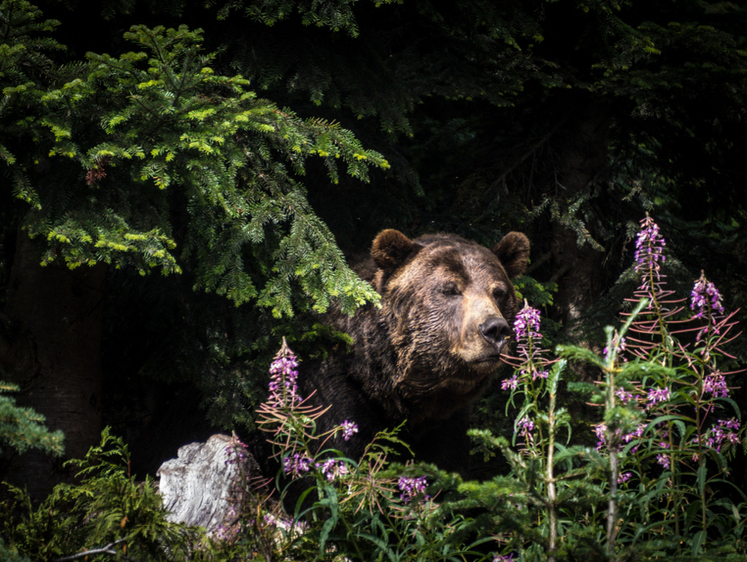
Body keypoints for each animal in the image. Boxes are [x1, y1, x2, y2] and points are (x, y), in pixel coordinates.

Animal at [300, 230, 532, 470]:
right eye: (450, 289)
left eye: (499, 292)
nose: (495, 329)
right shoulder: (336, 392)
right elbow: (341, 449)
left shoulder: (448, 423)